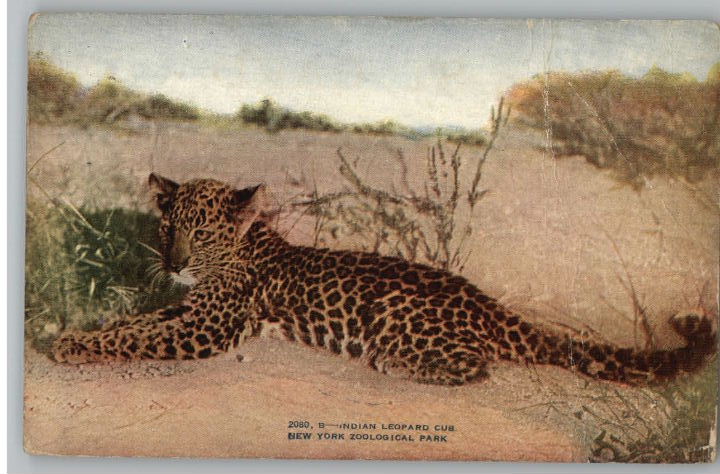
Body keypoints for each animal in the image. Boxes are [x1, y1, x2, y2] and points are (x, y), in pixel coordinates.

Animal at [52, 174, 717, 386]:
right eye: (169, 230)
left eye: (204, 233)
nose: (175, 263)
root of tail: (482, 300)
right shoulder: (185, 313)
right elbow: (132, 323)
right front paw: (75, 334)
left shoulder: (204, 329)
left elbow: (134, 337)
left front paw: (72, 346)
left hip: (401, 319)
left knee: (475, 365)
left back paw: (396, 364)